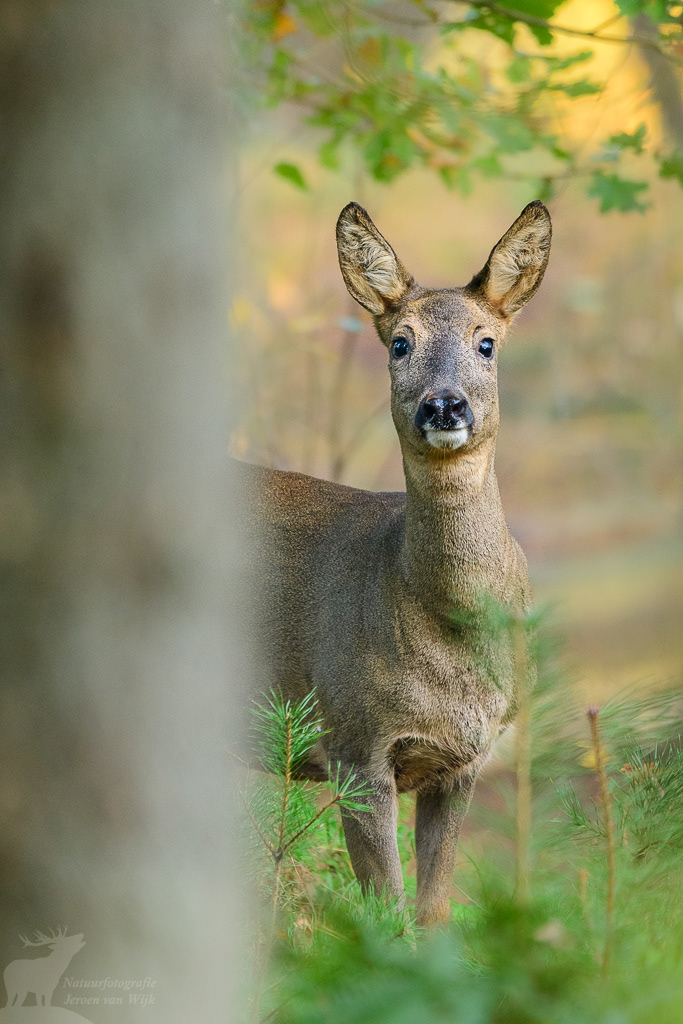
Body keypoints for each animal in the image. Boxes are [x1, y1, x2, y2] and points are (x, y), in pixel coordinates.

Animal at [241, 200, 551, 927]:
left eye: (486, 342)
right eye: (399, 343)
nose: (444, 404)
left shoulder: (466, 761)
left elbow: (433, 910)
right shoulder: (353, 739)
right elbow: (384, 911)